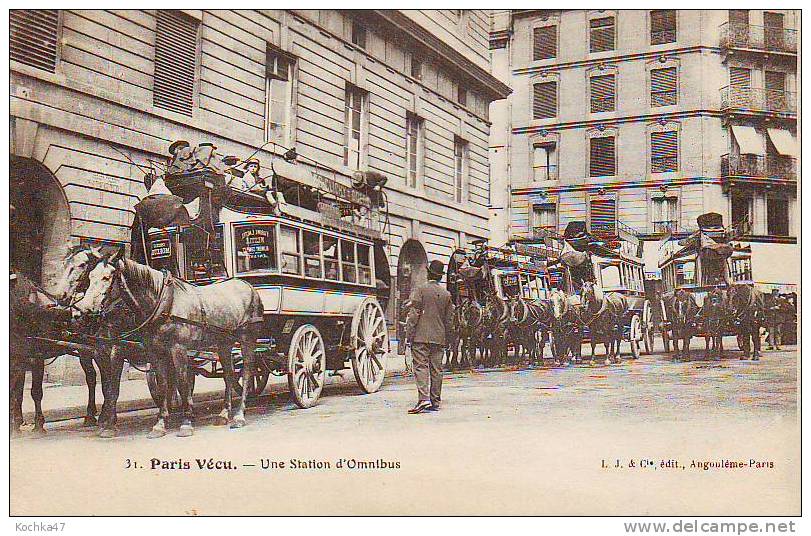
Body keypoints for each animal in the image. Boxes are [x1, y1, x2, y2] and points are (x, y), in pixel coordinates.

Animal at [72, 249, 264, 438]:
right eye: (90, 277)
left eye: (106, 277)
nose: (82, 311)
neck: (164, 303)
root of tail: (247, 286)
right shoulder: (155, 352)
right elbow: (164, 383)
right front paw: (160, 423)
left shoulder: (178, 348)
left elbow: (182, 381)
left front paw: (186, 422)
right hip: (224, 342)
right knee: (229, 374)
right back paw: (224, 414)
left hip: (247, 338)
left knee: (248, 371)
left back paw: (239, 415)